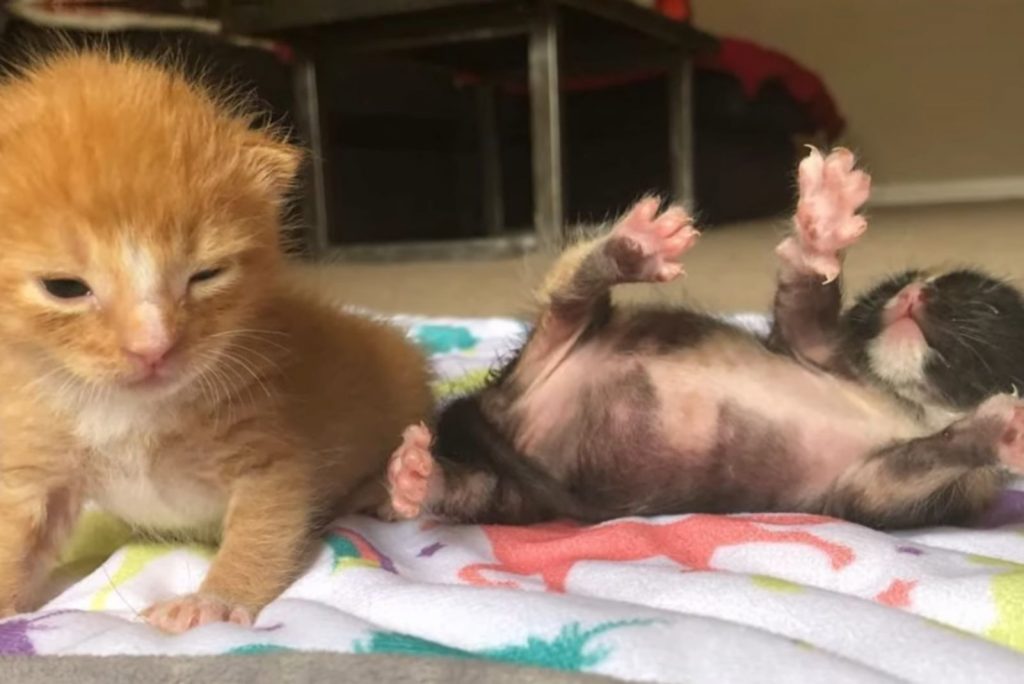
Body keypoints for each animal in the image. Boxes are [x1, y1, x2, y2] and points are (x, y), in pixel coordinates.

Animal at [0, 50, 432, 634]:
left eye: (206, 274)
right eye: (64, 287)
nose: (153, 348)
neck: (126, 412)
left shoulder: (271, 456)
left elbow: (260, 531)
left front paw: (215, 601)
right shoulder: (42, 461)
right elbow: (17, 538)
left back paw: (404, 480)